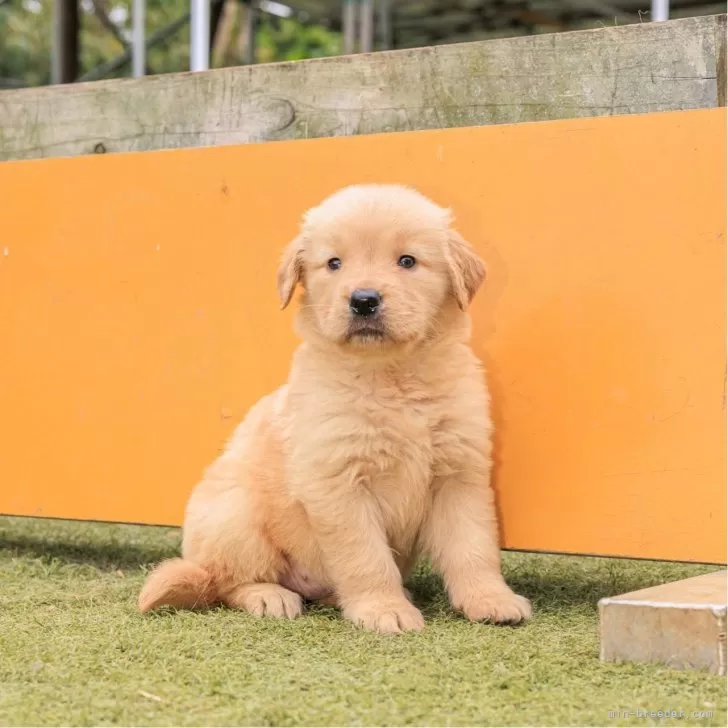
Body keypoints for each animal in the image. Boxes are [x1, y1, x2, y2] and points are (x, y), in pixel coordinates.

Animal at [139, 185, 532, 636]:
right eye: (334, 263)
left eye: (407, 261)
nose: (363, 301)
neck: (392, 376)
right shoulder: (338, 482)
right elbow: (366, 557)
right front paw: (384, 609)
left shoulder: (459, 474)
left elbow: (473, 548)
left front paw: (491, 599)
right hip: (235, 513)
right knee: (225, 581)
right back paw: (269, 596)